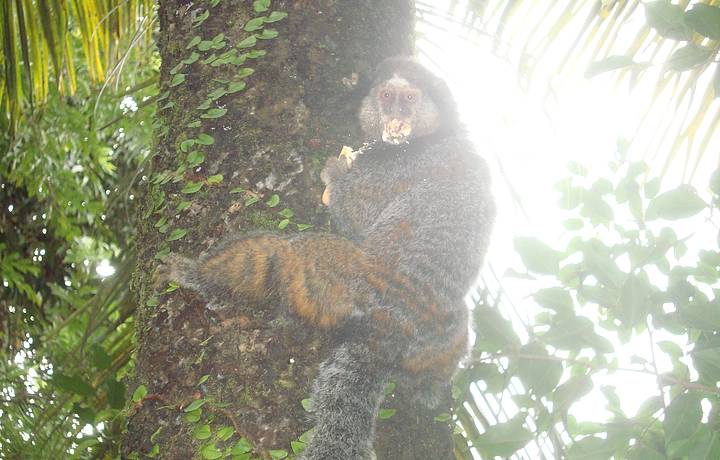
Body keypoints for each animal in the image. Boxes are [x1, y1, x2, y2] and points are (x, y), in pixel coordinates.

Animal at [157, 57, 496, 460]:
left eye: (410, 98)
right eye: (387, 95)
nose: (395, 112)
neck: (437, 134)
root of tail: (392, 328)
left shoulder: (393, 167)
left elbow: (355, 211)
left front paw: (334, 175)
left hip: (341, 279)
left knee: (283, 251)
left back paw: (196, 274)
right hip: (441, 342)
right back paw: (428, 388)